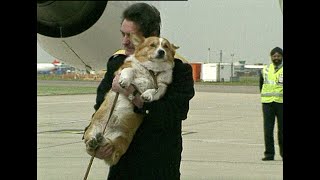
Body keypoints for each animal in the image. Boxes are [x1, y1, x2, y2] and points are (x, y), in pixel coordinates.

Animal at [82, 33, 179, 166]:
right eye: (152, 45)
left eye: (166, 47)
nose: (161, 52)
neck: (152, 70)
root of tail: (106, 133)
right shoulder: (120, 72)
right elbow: (130, 70)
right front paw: (125, 80)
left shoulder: (162, 87)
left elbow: (155, 90)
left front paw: (147, 95)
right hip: (91, 132)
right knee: (90, 148)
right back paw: (93, 143)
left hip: (120, 140)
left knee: (110, 147)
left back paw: (101, 141)